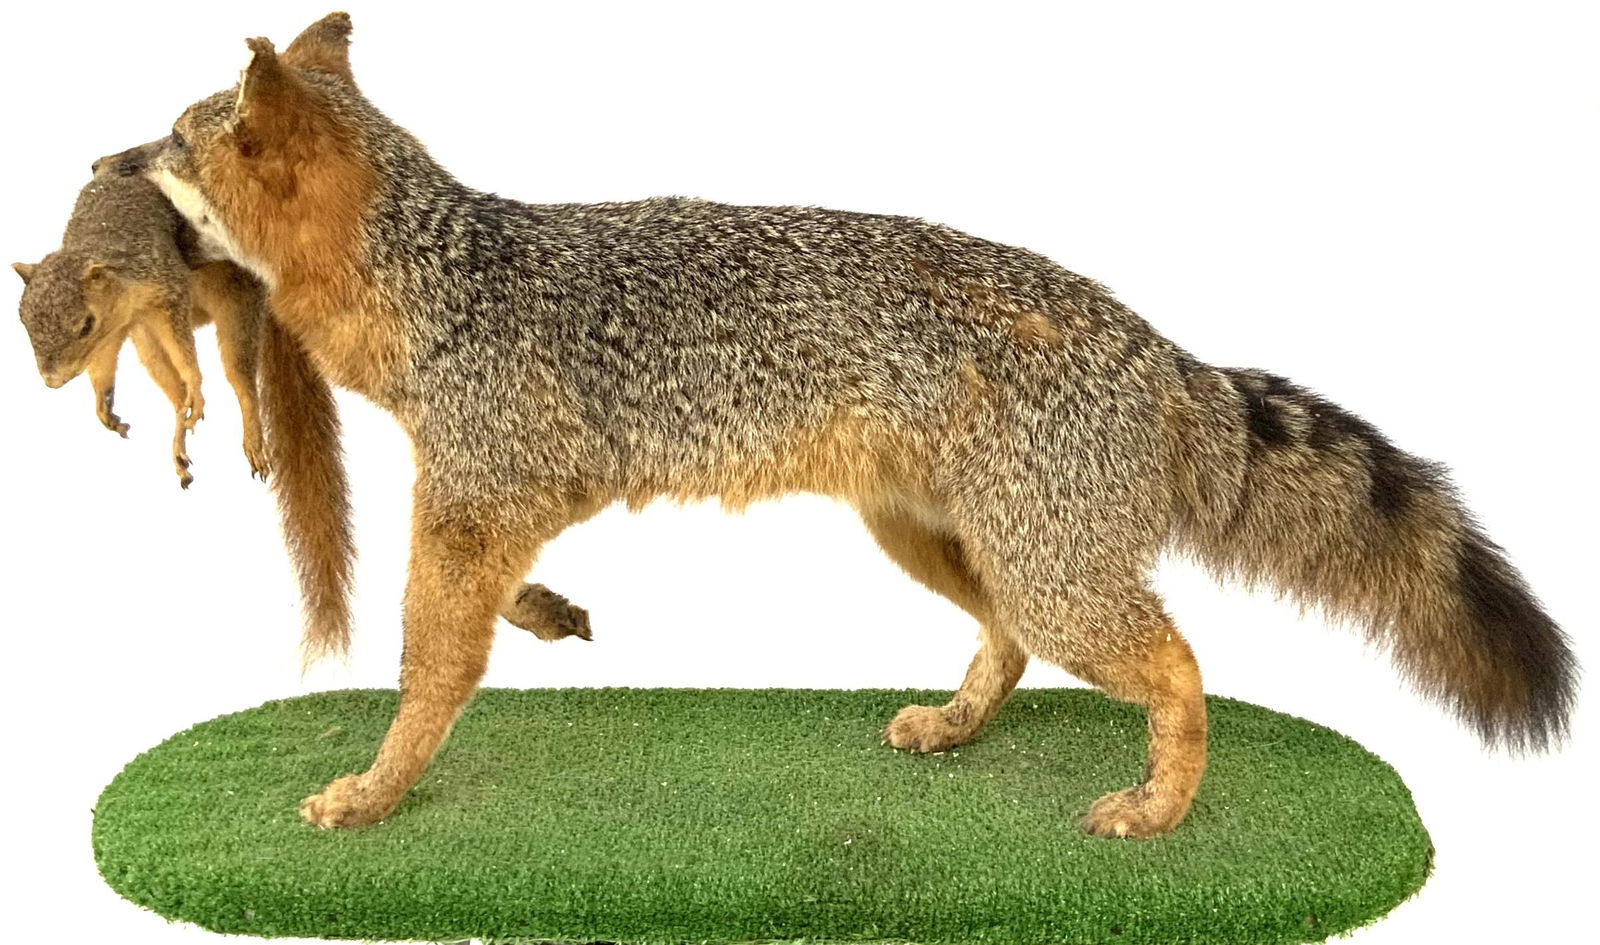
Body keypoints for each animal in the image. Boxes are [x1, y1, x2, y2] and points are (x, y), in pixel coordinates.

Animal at [13, 146, 271, 487]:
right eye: (23, 322)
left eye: (85, 325)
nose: (52, 381)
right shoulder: (116, 331)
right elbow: (103, 364)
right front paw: (103, 405)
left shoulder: (167, 291)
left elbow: (184, 353)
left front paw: (196, 382)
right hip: (148, 345)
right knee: (176, 395)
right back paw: (179, 447)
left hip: (236, 303)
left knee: (240, 381)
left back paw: (252, 440)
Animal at [121, 13, 1571, 836]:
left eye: (178, 146)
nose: (107, 164)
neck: (446, 279)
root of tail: (1155, 345)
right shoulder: (492, 505)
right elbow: (482, 613)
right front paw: (543, 618)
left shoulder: (479, 499)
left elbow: (428, 670)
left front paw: (378, 793)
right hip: (941, 547)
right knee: (1010, 647)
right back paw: (960, 724)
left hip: (1049, 578)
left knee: (1178, 664)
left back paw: (1162, 807)